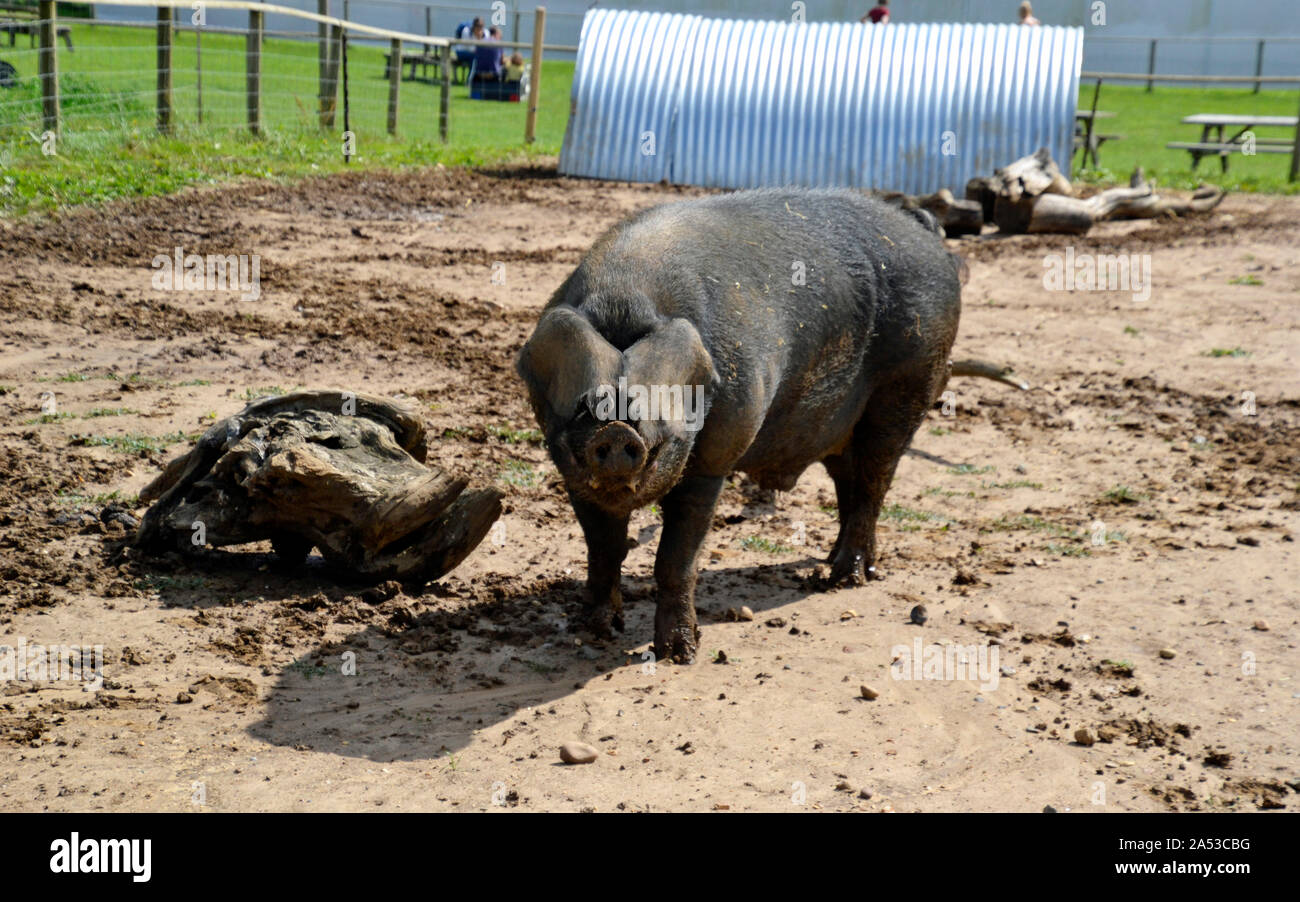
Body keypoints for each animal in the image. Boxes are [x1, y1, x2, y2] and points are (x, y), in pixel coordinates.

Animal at [520, 188, 967, 665]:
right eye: (585, 405)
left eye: (656, 408)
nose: (617, 431)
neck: (626, 301)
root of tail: (923, 230)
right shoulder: (569, 469)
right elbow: (602, 549)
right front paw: (595, 631)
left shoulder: (714, 458)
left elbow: (676, 558)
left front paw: (680, 655)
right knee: (849, 483)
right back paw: (829, 567)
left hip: (912, 377)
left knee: (874, 481)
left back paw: (845, 577)